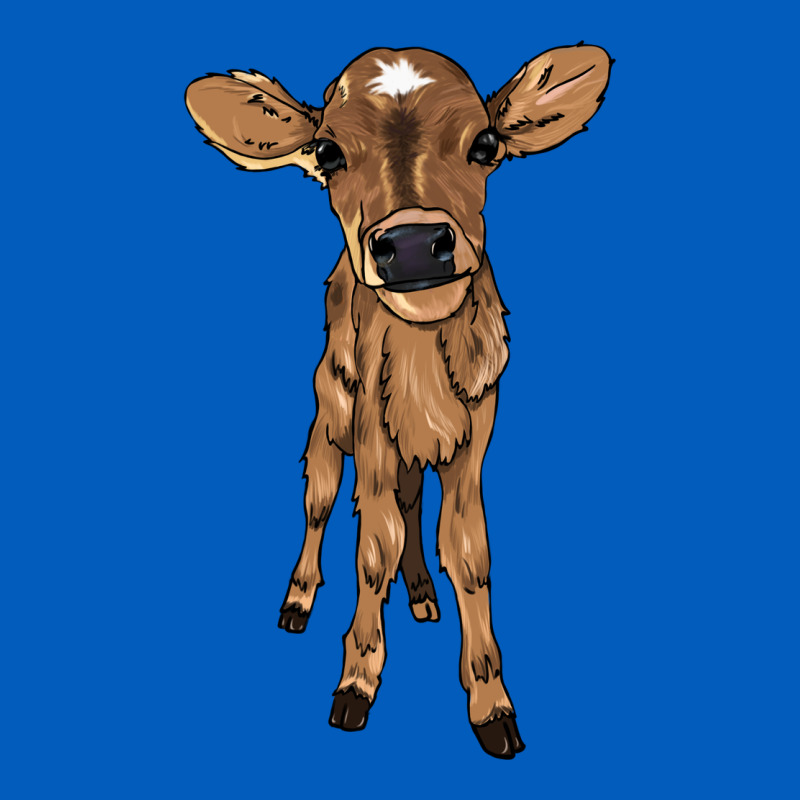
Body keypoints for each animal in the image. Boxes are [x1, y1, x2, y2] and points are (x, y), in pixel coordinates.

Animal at [185, 43, 612, 759]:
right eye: (328, 153)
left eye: (486, 144)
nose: (412, 245)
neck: (420, 368)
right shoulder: (372, 438)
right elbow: (370, 550)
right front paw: (356, 683)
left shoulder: (472, 444)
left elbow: (468, 554)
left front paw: (491, 704)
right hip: (331, 413)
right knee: (321, 500)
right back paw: (298, 601)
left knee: (413, 505)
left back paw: (420, 594)